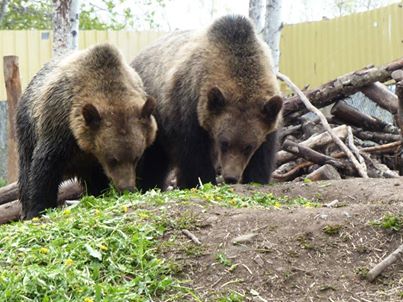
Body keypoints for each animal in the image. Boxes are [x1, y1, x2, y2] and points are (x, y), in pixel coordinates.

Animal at [16, 43, 158, 218]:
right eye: (112, 159)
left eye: (136, 158)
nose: (127, 189)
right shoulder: (59, 127)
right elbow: (44, 168)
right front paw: (37, 209)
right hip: (27, 130)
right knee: (25, 170)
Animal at [133, 14, 284, 189]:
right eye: (224, 142)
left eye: (249, 146)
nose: (231, 177)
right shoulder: (187, 107)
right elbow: (194, 154)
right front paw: (200, 180)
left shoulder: (268, 117)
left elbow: (263, 155)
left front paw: (256, 179)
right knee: (151, 157)